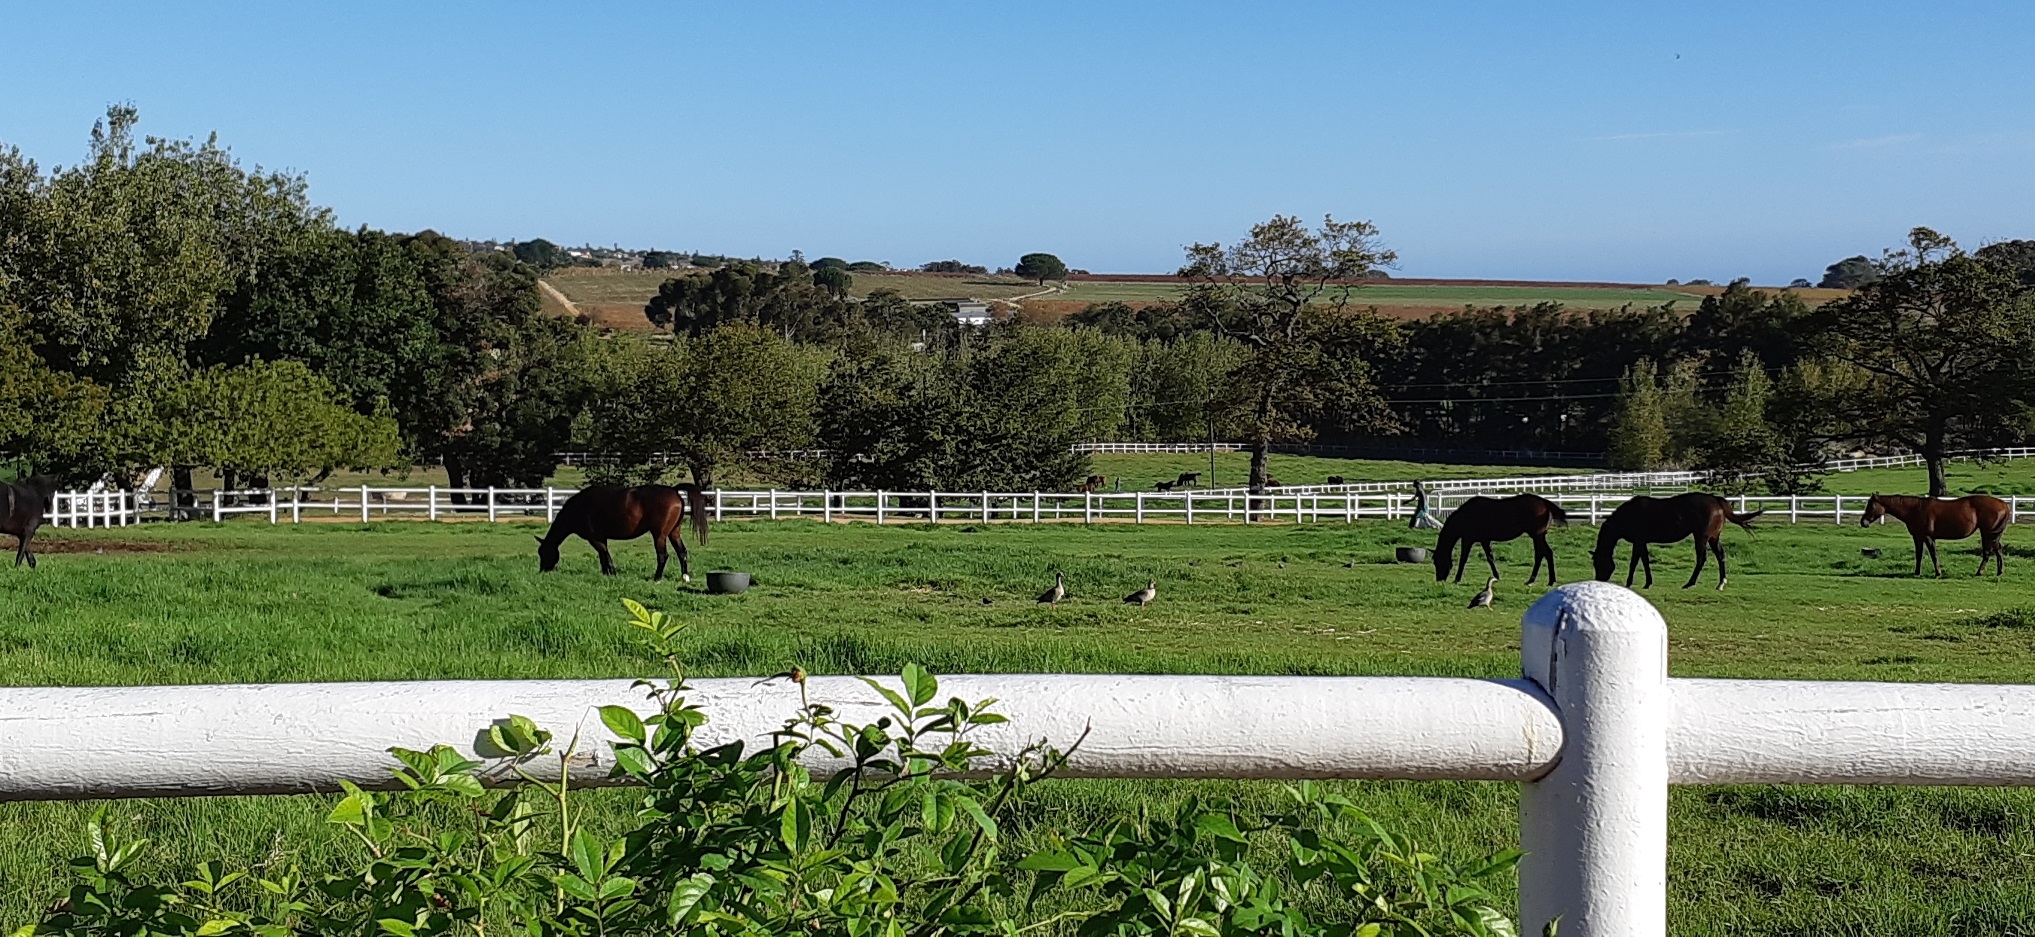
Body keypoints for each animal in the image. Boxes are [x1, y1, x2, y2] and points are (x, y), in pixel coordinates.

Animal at [537, 486, 712, 582]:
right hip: (673, 533)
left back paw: (657, 578)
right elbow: (603, 557)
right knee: (682, 552)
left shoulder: (595, 539)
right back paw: (685, 577)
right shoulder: (601, 538)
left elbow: (605, 556)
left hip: (659, 535)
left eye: (543, 552)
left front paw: (612, 573)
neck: (578, 508)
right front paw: (606, 574)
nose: (542, 571)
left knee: (663, 555)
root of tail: (674, 491)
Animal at [1432, 494, 1571, 582]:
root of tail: (1545, 503)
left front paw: (1457, 579)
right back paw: (1541, 580)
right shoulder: (1484, 540)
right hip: (1539, 537)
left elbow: (1463, 559)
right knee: (1544, 554)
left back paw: (1540, 580)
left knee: (1543, 554)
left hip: (1537, 536)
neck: (1465, 516)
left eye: (1436, 561)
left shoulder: (1468, 540)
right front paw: (1497, 576)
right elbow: (1490, 558)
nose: (1439, 579)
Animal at [1587, 494, 1766, 590]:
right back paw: (1720, 583)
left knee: (1701, 559)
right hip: (1713, 538)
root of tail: (1716, 500)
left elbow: (1635, 562)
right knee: (1720, 556)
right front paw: (1648, 583)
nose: (1599, 581)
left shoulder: (1638, 541)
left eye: (1598, 563)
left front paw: (1630, 583)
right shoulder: (1642, 542)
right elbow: (1644, 561)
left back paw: (1689, 583)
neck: (1628, 515)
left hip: (1701, 537)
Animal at [1864, 494, 2002, 574]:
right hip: (1993, 536)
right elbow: (1919, 555)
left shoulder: (1928, 537)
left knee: (1988, 552)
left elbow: (1933, 554)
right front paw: (1917, 572)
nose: (1863, 522)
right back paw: (1999, 572)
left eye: (1871, 506)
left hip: (1987, 534)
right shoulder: (1918, 537)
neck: (1915, 509)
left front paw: (1938, 573)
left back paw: (1980, 572)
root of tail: (2003, 505)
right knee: (1997, 550)